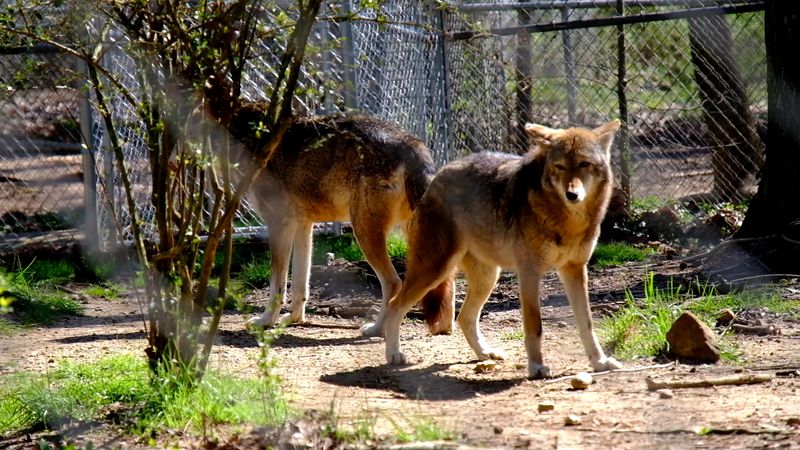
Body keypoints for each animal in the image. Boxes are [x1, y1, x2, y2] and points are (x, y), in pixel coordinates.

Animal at [232, 106, 452, 329]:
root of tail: (411, 143)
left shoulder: (279, 223)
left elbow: (277, 285)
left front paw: (266, 321)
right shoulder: (303, 225)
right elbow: (300, 284)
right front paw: (294, 319)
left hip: (363, 232)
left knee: (393, 282)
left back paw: (376, 329)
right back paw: (444, 329)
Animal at [360, 119, 623, 379]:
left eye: (584, 164)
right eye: (559, 167)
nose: (572, 194)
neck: (567, 221)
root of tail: (438, 176)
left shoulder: (576, 270)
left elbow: (587, 324)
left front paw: (600, 362)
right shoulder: (529, 272)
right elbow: (535, 325)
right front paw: (536, 367)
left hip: (487, 277)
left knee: (464, 317)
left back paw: (485, 354)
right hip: (435, 270)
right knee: (396, 304)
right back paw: (394, 354)